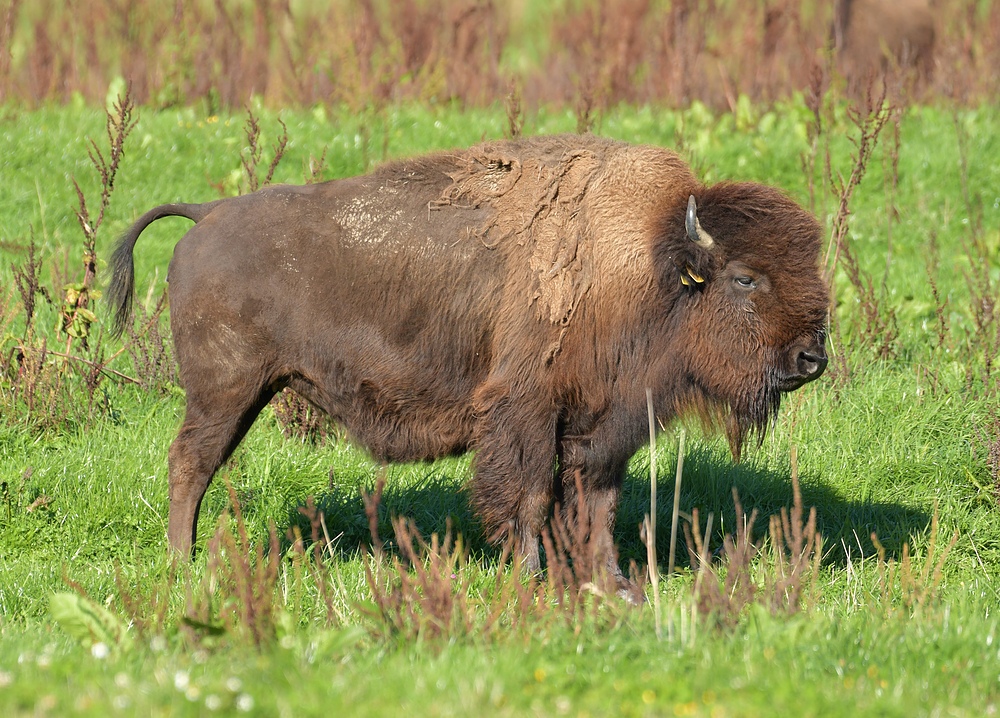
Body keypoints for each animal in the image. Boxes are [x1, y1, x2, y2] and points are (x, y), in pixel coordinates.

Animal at [107, 136, 828, 592]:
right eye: (744, 278)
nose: (812, 357)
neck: (648, 260)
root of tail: (207, 215)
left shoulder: (603, 427)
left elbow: (596, 504)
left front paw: (612, 584)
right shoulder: (526, 412)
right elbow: (530, 498)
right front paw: (532, 580)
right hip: (226, 391)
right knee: (190, 464)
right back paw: (183, 566)